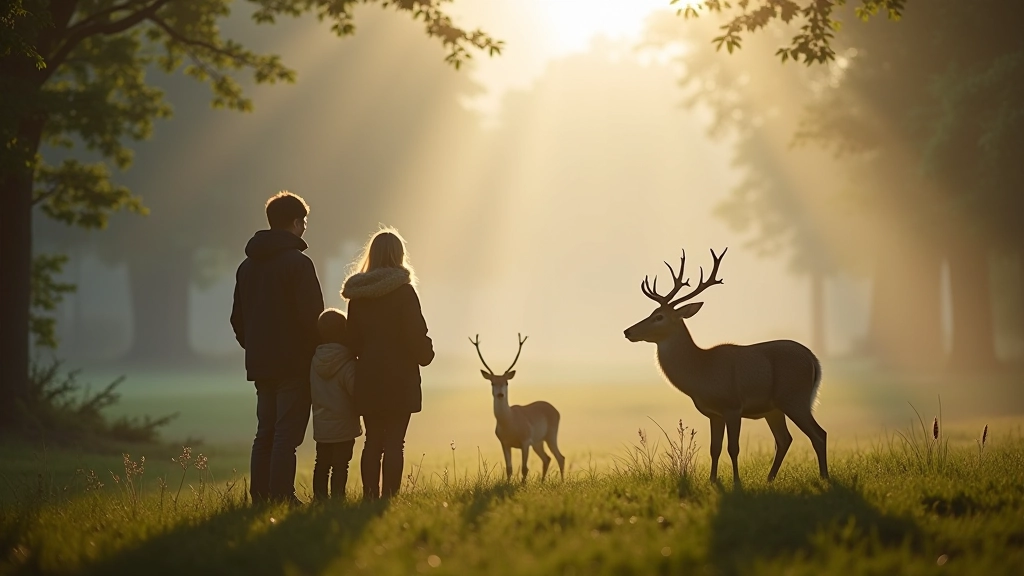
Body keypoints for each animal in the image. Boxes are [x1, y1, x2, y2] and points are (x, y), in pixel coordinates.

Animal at [470, 333, 566, 482]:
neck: (509, 422)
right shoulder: (504, 443)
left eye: (506, 382)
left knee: (560, 457)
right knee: (547, 458)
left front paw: (523, 484)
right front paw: (509, 483)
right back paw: (542, 481)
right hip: (538, 442)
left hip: (550, 435)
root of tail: (556, 411)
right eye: (492, 382)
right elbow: (509, 468)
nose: (500, 394)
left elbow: (525, 468)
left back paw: (561, 481)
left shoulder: (525, 441)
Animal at [623, 248, 828, 485]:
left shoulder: (732, 406)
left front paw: (737, 482)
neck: (702, 372)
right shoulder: (714, 414)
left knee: (819, 434)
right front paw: (713, 480)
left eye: (659, 316)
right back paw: (770, 479)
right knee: (784, 439)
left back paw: (824, 477)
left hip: (795, 397)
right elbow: (715, 448)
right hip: (775, 408)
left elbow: (733, 448)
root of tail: (814, 360)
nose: (628, 331)